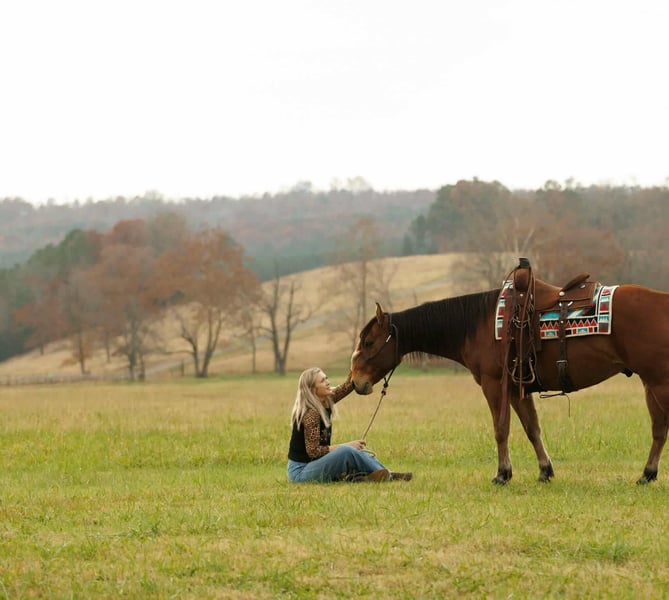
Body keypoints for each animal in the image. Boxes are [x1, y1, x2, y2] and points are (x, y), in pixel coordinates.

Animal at [350, 259, 669, 485]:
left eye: (369, 342)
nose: (356, 381)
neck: (477, 323)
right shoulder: (519, 388)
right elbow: (532, 429)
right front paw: (545, 471)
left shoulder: (494, 384)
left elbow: (501, 429)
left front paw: (503, 473)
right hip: (651, 384)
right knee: (658, 429)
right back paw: (647, 474)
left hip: (658, 383)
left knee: (660, 428)